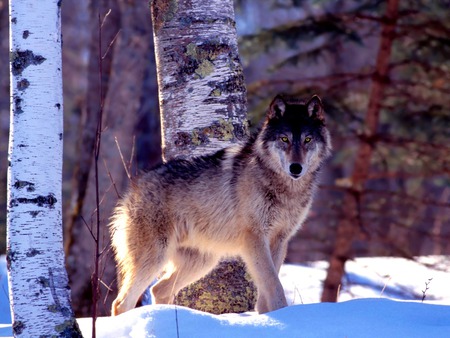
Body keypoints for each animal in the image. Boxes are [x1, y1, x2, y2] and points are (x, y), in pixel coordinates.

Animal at [110, 93, 332, 316]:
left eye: (307, 140)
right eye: (284, 139)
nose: (296, 168)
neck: (285, 190)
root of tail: (133, 188)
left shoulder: (279, 240)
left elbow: (268, 288)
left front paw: (268, 317)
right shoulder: (254, 239)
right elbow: (274, 284)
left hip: (202, 263)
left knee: (158, 289)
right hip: (155, 258)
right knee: (121, 303)